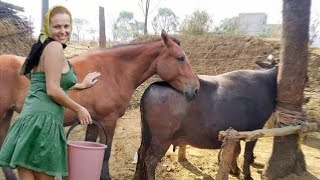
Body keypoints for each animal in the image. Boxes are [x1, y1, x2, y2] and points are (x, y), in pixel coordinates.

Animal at [0, 30, 200, 179]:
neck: (113, 71)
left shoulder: (93, 121)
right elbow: (106, 152)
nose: (196, 89)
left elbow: (90, 144)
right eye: (180, 58)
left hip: (6, 115)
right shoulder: (108, 120)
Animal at [134, 60, 276, 180]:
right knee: (150, 160)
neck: (268, 83)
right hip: (162, 139)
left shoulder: (236, 132)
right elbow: (247, 155)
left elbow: (236, 151)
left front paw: (234, 170)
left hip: (147, 135)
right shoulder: (255, 128)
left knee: (141, 154)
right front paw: (247, 175)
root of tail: (150, 89)